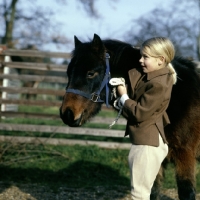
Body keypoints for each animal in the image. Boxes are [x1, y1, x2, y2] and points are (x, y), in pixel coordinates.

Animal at [59, 33, 200, 199]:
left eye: (91, 73)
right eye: (68, 73)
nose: (67, 113)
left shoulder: (185, 155)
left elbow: (187, 192)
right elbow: (152, 191)